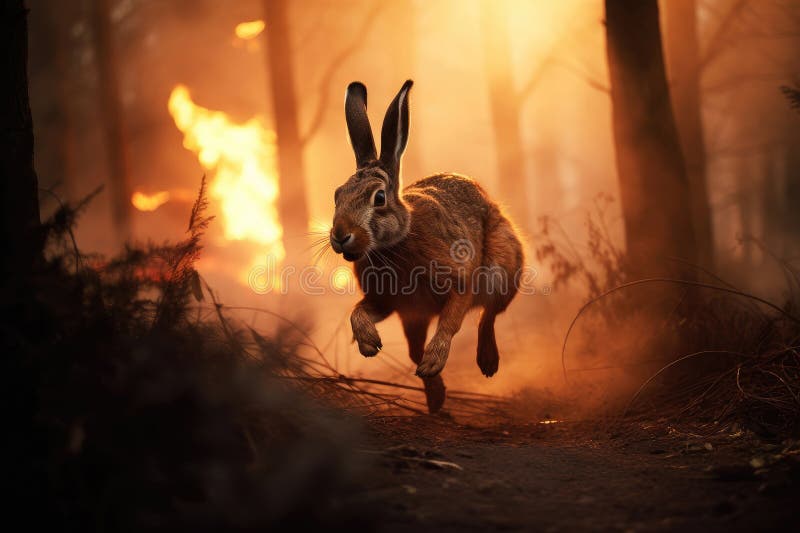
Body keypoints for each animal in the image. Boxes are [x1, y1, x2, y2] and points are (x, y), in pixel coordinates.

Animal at [329, 79, 524, 413]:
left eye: (378, 198)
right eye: (336, 195)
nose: (341, 235)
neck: (393, 245)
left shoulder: (460, 283)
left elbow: (450, 322)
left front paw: (434, 361)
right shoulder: (391, 303)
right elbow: (358, 312)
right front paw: (368, 344)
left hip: (502, 267)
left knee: (489, 315)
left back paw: (486, 363)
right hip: (414, 318)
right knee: (415, 350)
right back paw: (435, 399)